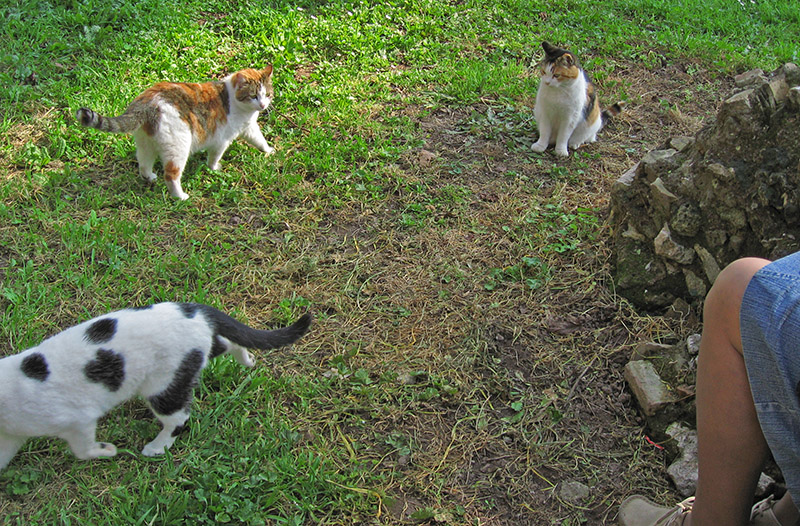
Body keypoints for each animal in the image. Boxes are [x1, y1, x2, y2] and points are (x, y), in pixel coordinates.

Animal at [0, 304, 310, 472]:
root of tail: (195, 310)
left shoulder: (78, 420)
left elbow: (83, 450)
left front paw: (108, 451)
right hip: (194, 357)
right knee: (226, 342)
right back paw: (246, 359)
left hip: (163, 388)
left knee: (179, 419)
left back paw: (157, 447)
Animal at [77, 67, 276, 201]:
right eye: (253, 96)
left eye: (267, 94)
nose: (263, 105)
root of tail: (146, 103)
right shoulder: (222, 139)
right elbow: (214, 157)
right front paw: (214, 168)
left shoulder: (249, 128)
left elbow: (259, 140)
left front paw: (268, 151)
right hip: (178, 147)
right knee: (171, 175)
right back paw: (180, 196)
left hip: (146, 143)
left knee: (143, 163)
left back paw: (149, 177)